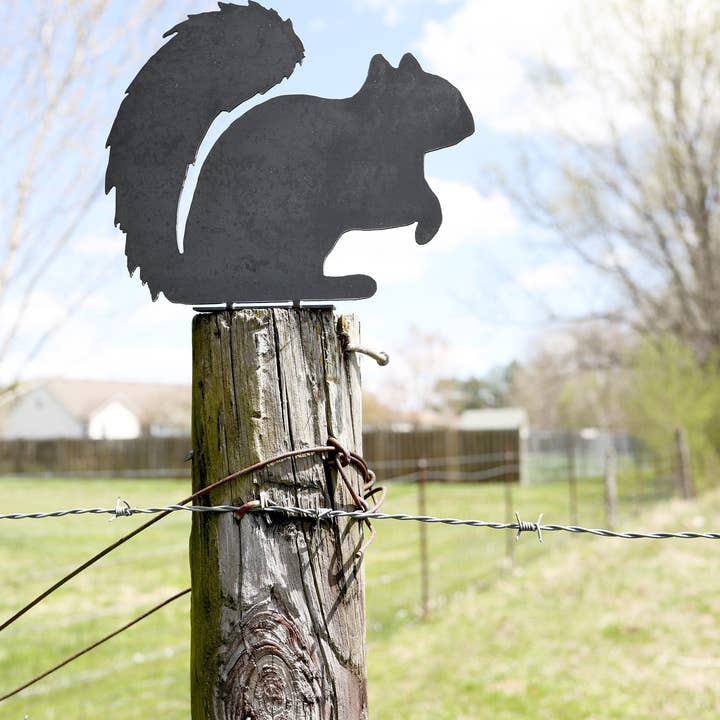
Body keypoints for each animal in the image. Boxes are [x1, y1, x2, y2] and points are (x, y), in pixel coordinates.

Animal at [106, 1, 474, 305]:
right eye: (433, 99)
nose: (469, 124)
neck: (383, 127)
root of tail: (191, 275)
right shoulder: (369, 179)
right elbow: (404, 205)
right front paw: (426, 229)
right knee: (291, 281)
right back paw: (342, 285)